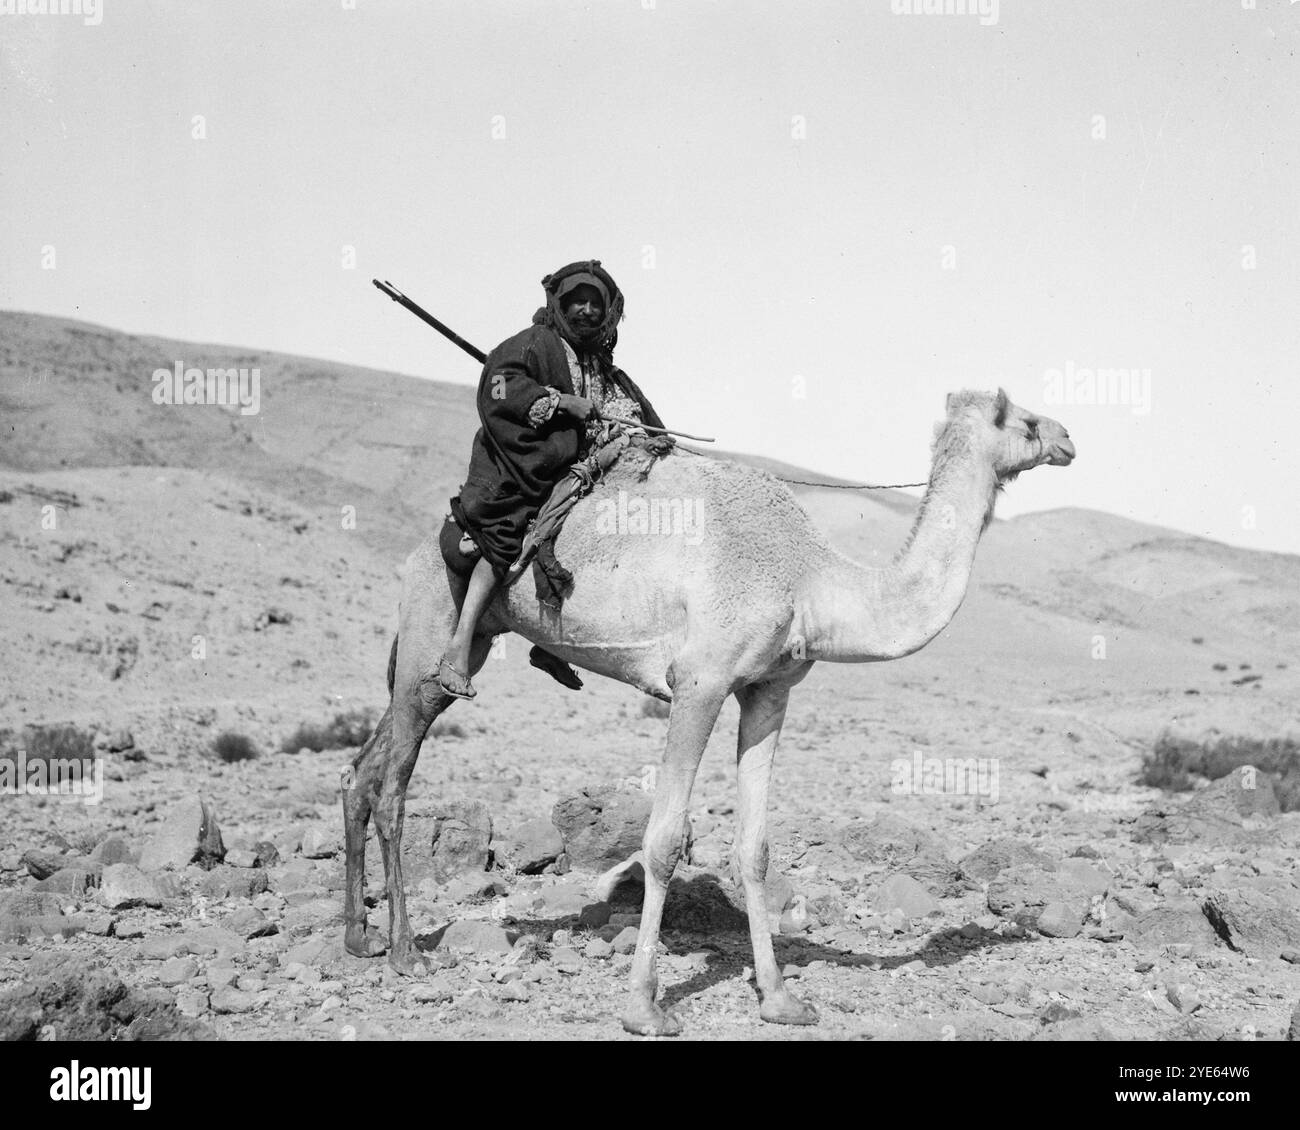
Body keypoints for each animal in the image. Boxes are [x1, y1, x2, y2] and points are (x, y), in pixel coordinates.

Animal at [338, 384, 1076, 1029]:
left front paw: (780, 999)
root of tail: (417, 552)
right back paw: (405, 952)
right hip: (433, 632)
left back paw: (357, 937)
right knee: (394, 784)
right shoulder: (699, 680)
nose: (1068, 437)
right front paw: (644, 1007)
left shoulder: (769, 690)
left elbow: (754, 848)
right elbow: (664, 840)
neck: (811, 579)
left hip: (444, 652)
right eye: (1023, 419)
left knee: (361, 772)